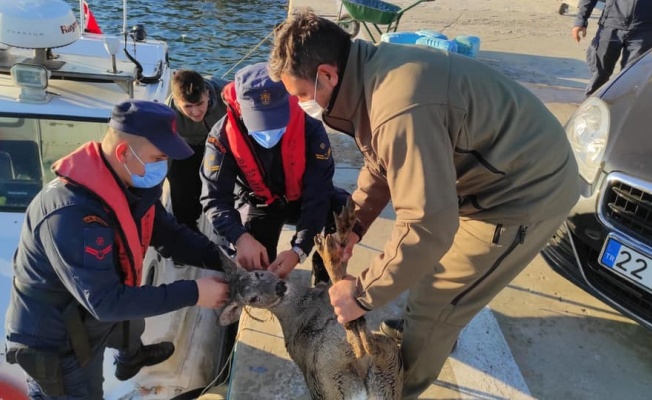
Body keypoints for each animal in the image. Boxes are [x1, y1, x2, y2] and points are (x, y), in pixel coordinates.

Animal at [219, 198, 402, 398]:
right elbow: (341, 272)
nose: (279, 287)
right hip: (342, 364)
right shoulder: (328, 295)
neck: (304, 302)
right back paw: (332, 244)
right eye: (252, 299)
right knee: (364, 346)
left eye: (258, 273)